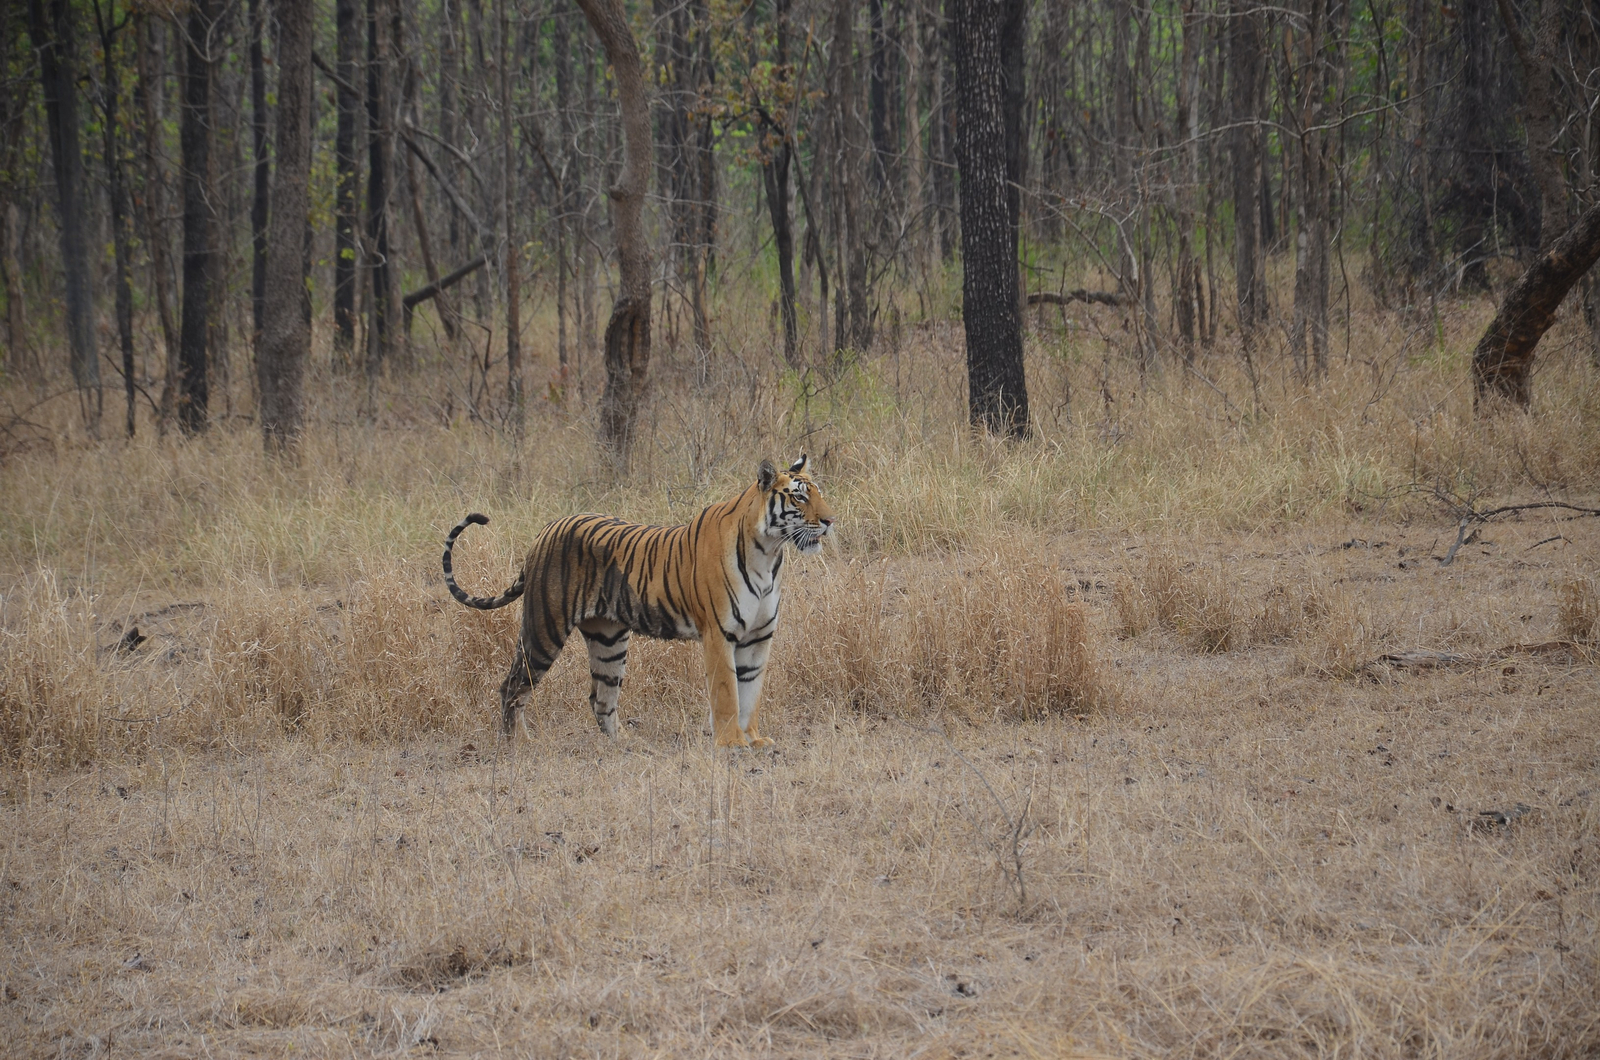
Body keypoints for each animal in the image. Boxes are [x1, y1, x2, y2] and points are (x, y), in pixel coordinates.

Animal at [442, 455, 835, 748]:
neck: (769, 553)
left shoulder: (758, 637)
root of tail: (545, 531)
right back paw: (518, 744)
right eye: (799, 497)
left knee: (600, 698)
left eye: (818, 493)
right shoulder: (719, 634)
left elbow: (750, 693)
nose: (831, 521)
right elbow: (727, 693)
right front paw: (731, 744)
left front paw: (753, 739)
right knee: (513, 685)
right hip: (544, 627)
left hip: (609, 640)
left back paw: (626, 743)